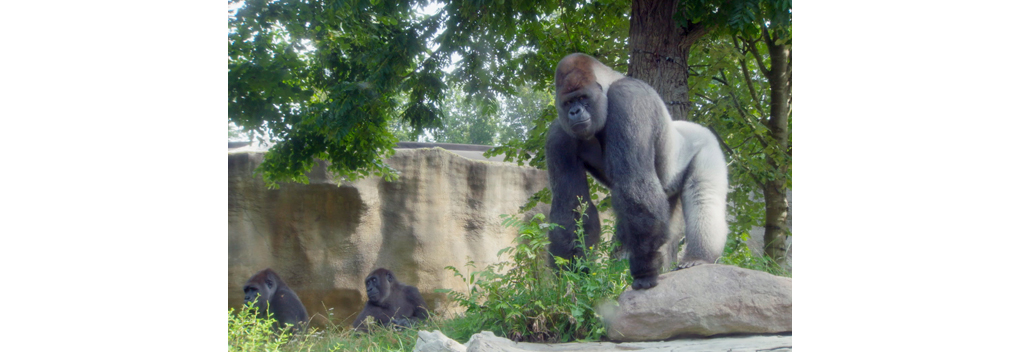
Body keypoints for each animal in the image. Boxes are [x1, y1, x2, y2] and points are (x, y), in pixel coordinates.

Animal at [546, 52, 730, 287]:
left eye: (582, 97)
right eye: (568, 101)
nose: (574, 112)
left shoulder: (628, 98)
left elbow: (635, 182)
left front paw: (645, 270)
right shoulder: (558, 135)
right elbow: (571, 206)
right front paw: (570, 275)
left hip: (707, 144)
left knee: (703, 197)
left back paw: (700, 257)